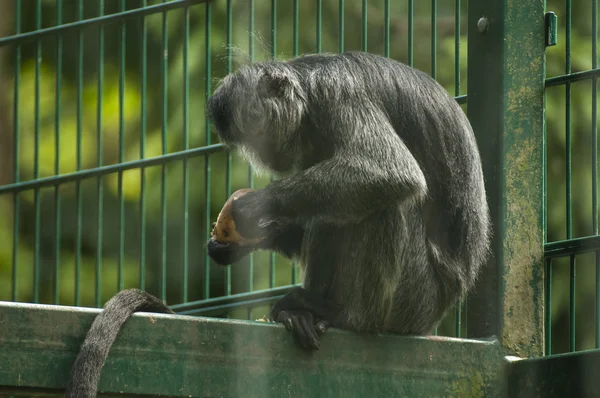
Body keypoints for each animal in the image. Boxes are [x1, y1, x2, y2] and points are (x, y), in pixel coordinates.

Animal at [206, 50, 492, 352]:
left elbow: (391, 171)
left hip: (415, 301)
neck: (310, 89)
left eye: (258, 135)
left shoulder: (339, 92)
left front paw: (253, 208)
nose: (265, 156)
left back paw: (348, 317)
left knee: (388, 204)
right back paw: (301, 315)